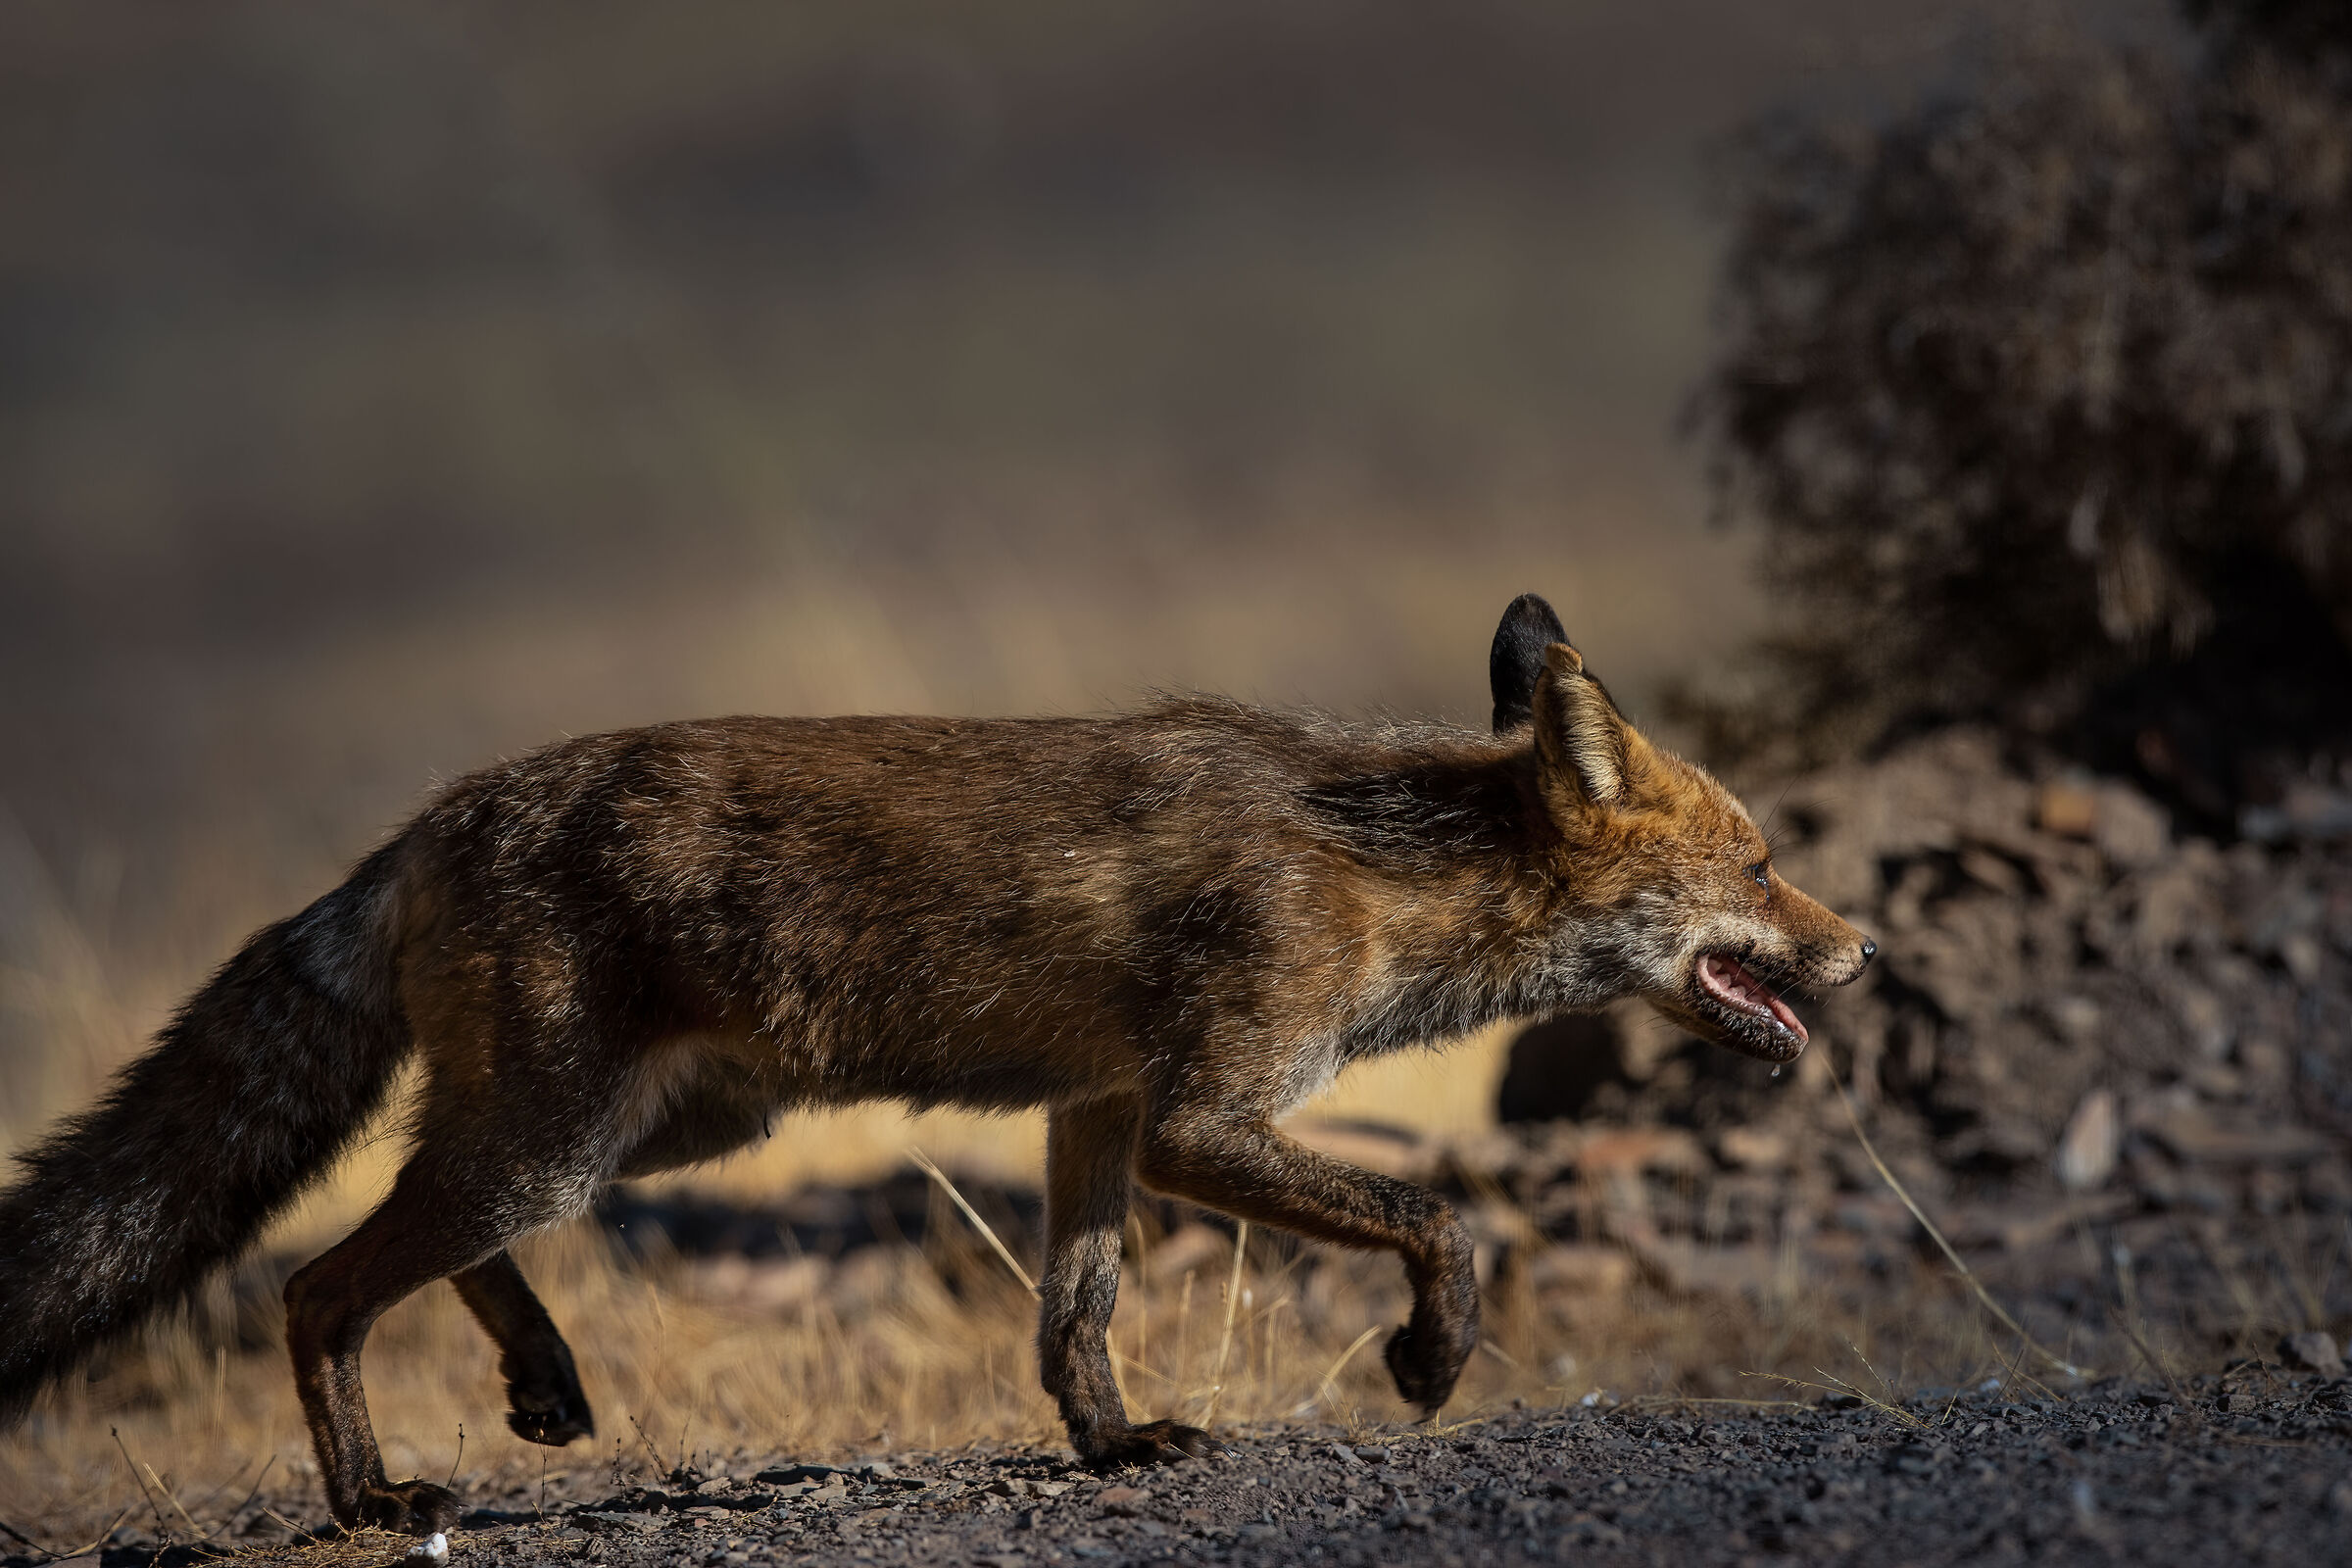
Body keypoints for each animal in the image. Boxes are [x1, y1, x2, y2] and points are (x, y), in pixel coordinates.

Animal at [0, 593, 1872, 1532]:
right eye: (1768, 860)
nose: (1864, 952)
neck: (1385, 873)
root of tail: (428, 820)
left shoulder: (1102, 1110)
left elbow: (1075, 1314)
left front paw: (1111, 1448)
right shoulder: (1205, 1117)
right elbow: (1440, 1220)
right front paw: (1427, 1356)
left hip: (652, 1134)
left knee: (419, 1233)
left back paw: (536, 1378)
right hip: (564, 1137)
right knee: (321, 1283)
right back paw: (376, 1495)